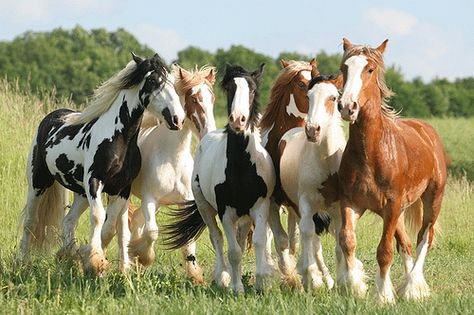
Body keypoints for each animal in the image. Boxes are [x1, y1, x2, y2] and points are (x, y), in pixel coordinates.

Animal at [124, 64, 217, 284]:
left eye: (212, 98)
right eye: (193, 99)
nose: (209, 133)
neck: (172, 158)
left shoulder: (183, 202)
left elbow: (188, 242)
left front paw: (195, 276)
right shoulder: (150, 199)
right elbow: (152, 232)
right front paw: (143, 257)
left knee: (136, 220)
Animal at [278, 74, 344, 292]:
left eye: (333, 98)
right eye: (309, 96)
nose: (312, 130)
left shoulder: (338, 209)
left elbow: (340, 242)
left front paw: (342, 281)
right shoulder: (306, 205)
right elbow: (309, 238)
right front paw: (313, 280)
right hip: (296, 208)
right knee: (308, 241)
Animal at [336, 38, 448, 304]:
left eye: (370, 69)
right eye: (344, 68)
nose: (347, 106)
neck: (372, 152)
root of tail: (427, 132)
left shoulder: (392, 205)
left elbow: (384, 251)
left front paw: (383, 296)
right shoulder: (352, 203)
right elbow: (347, 241)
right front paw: (354, 287)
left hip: (432, 199)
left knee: (424, 238)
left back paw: (414, 287)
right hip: (397, 212)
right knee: (405, 243)